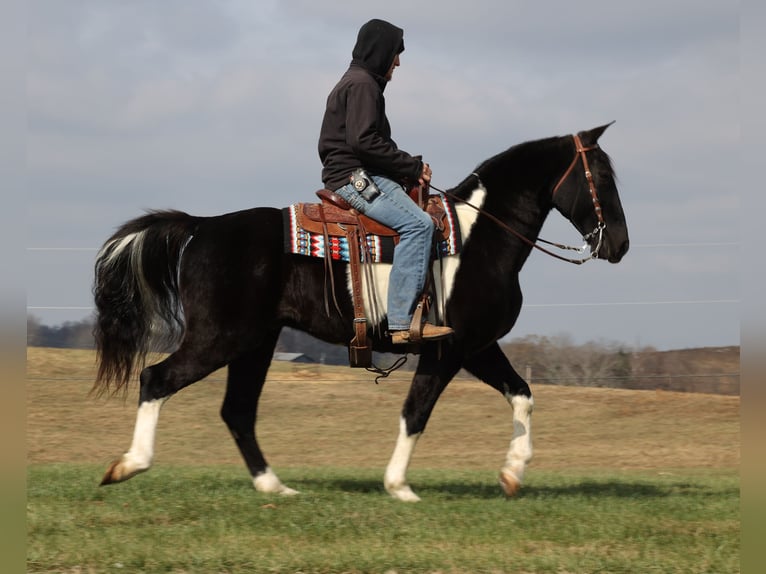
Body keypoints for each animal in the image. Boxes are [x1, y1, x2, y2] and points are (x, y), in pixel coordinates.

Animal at [91, 124, 632, 502]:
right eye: (603, 177)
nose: (621, 245)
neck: (479, 237)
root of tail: (202, 227)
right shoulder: (449, 349)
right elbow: (416, 411)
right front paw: (399, 486)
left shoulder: (477, 347)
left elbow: (523, 396)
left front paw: (512, 473)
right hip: (219, 338)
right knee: (157, 379)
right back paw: (128, 465)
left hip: (255, 343)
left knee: (237, 410)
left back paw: (274, 487)